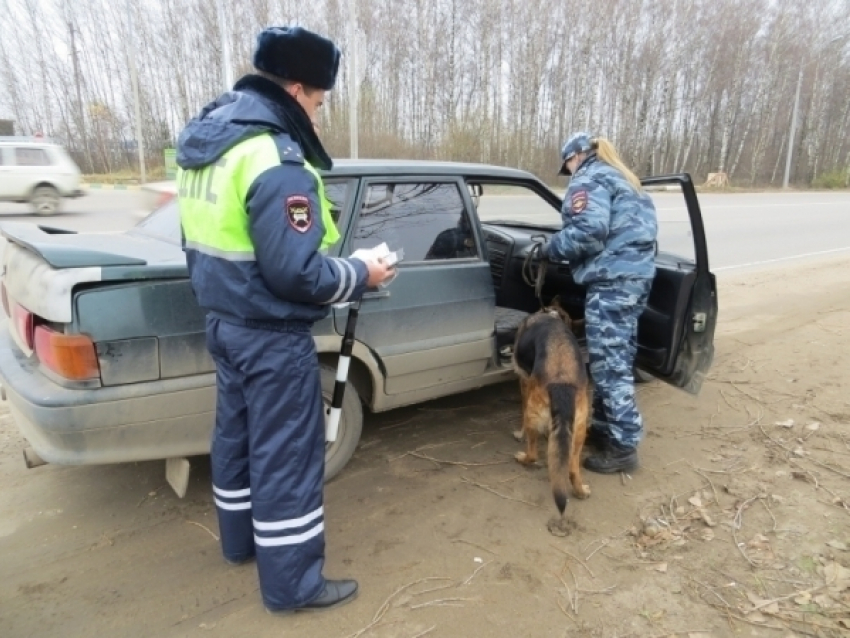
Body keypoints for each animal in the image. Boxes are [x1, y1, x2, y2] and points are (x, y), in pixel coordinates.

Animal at [510, 300, 588, 528]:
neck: (551, 315)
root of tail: (562, 385)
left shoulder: (523, 381)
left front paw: (519, 434)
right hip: (579, 431)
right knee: (572, 469)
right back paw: (581, 491)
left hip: (532, 413)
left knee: (533, 454)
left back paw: (523, 457)